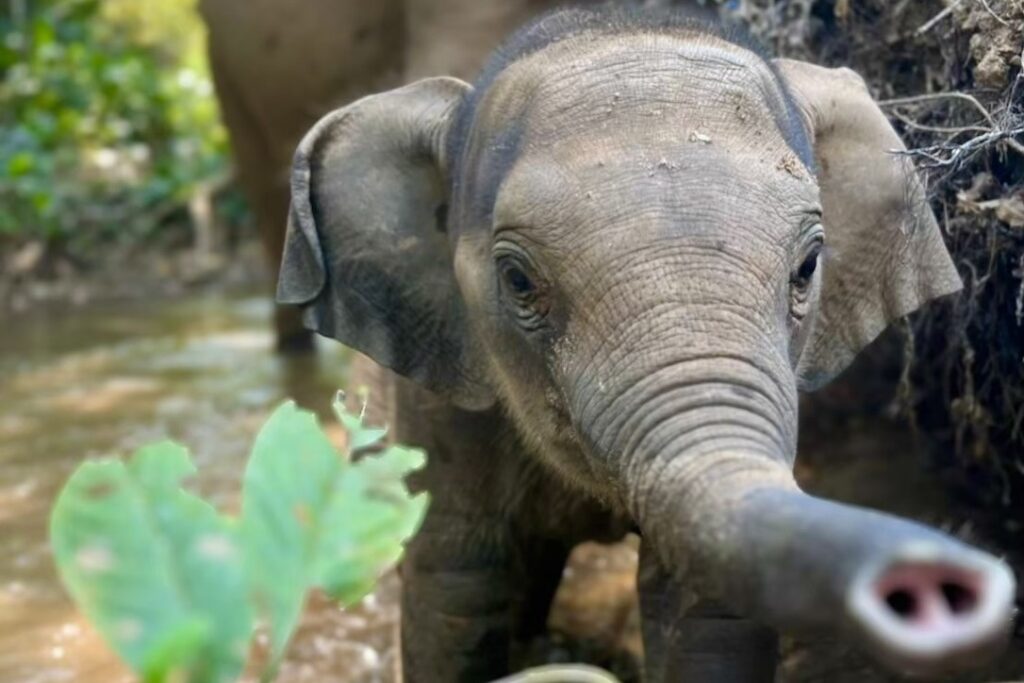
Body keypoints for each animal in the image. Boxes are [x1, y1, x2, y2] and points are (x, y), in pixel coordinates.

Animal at [276, 7, 1017, 683]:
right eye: (517, 279)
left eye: (809, 266)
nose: (932, 584)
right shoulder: (445, 411)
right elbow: (456, 588)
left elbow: (704, 612)